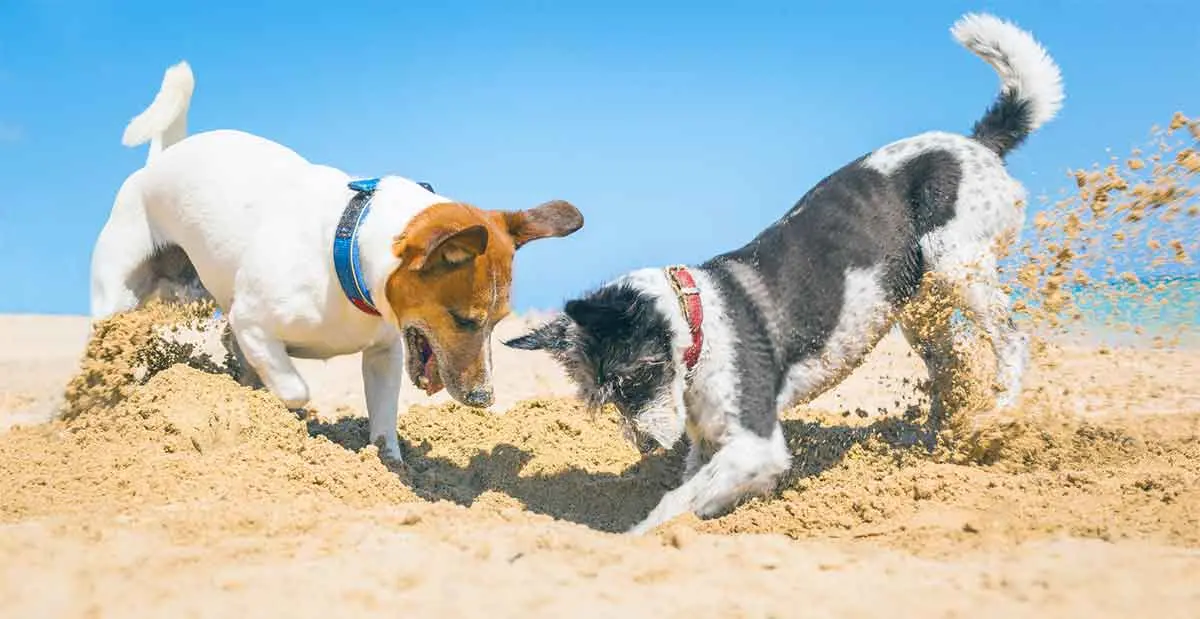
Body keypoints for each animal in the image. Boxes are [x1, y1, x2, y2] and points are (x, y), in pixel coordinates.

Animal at [88, 62, 585, 460]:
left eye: (498, 322)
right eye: (463, 320)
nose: (485, 398)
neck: (348, 253)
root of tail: (160, 161)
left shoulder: (384, 352)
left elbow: (384, 420)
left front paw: (390, 465)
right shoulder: (251, 321)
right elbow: (293, 388)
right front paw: (283, 419)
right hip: (117, 298)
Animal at [501, 12, 1065, 535]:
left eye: (632, 378)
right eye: (598, 398)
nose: (642, 443)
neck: (697, 322)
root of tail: (978, 144)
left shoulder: (757, 444)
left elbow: (674, 502)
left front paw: (637, 537)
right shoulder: (712, 444)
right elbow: (694, 487)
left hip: (956, 263)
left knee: (1012, 342)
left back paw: (998, 415)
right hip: (918, 306)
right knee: (951, 367)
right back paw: (936, 440)